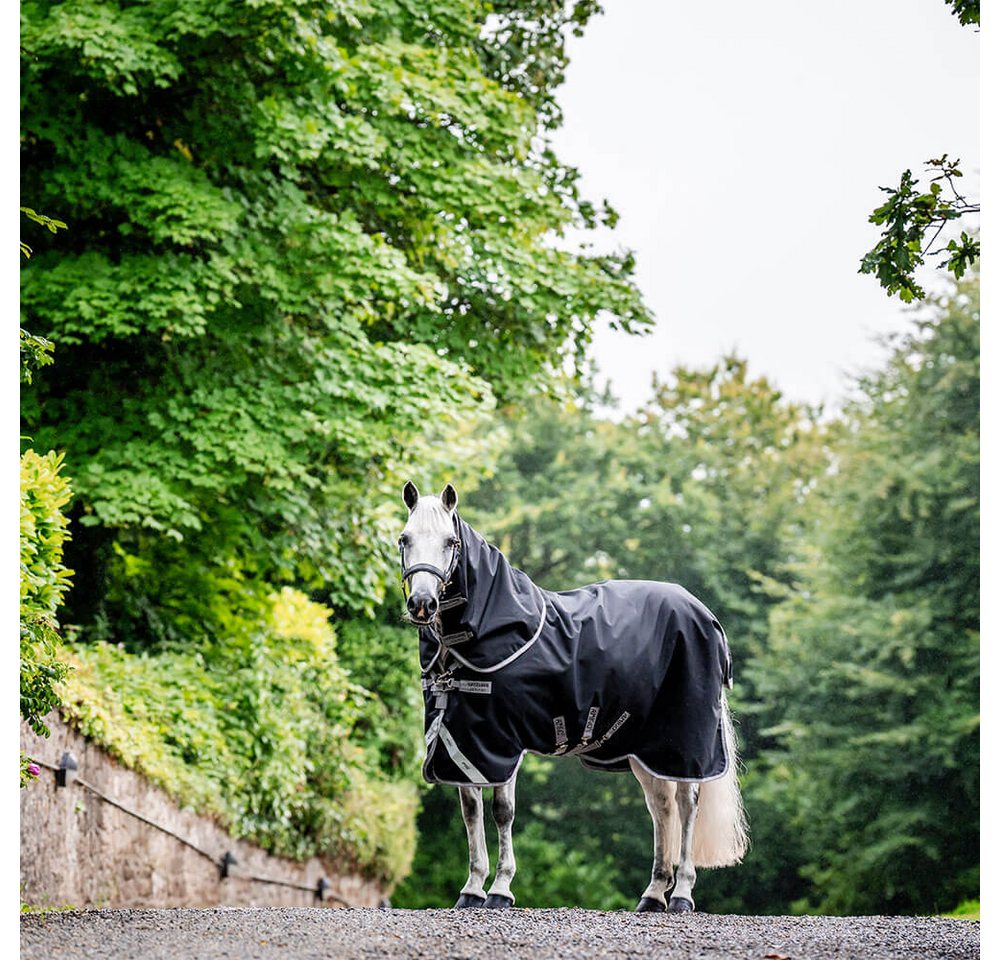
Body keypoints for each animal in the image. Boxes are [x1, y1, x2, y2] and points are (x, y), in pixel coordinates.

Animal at [397, 481, 748, 912]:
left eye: (451, 542)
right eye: (405, 539)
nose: (422, 604)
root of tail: (705, 614)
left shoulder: (502, 741)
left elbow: (502, 811)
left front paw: (500, 890)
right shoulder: (466, 742)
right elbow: (471, 811)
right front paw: (471, 889)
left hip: (686, 742)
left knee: (687, 804)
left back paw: (681, 894)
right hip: (648, 749)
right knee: (662, 807)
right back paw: (652, 895)